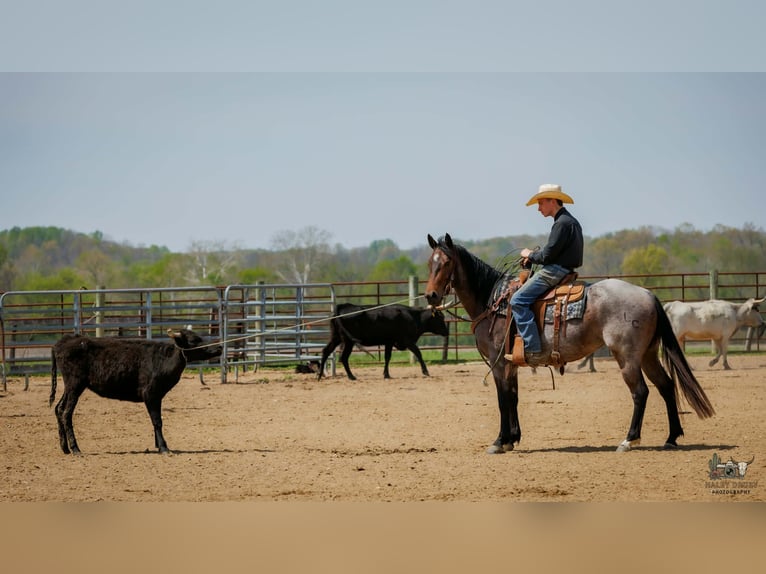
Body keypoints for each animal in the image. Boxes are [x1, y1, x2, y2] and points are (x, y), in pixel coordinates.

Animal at [424, 233, 715, 454]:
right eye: (430, 263)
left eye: (446, 262)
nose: (431, 295)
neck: (493, 301)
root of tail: (647, 294)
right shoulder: (510, 364)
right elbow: (514, 398)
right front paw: (513, 438)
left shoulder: (498, 364)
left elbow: (502, 400)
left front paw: (499, 441)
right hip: (648, 355)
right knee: (666, 386)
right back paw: (671, 437)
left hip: (627, 357)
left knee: (641, 392)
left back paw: (629, 440)